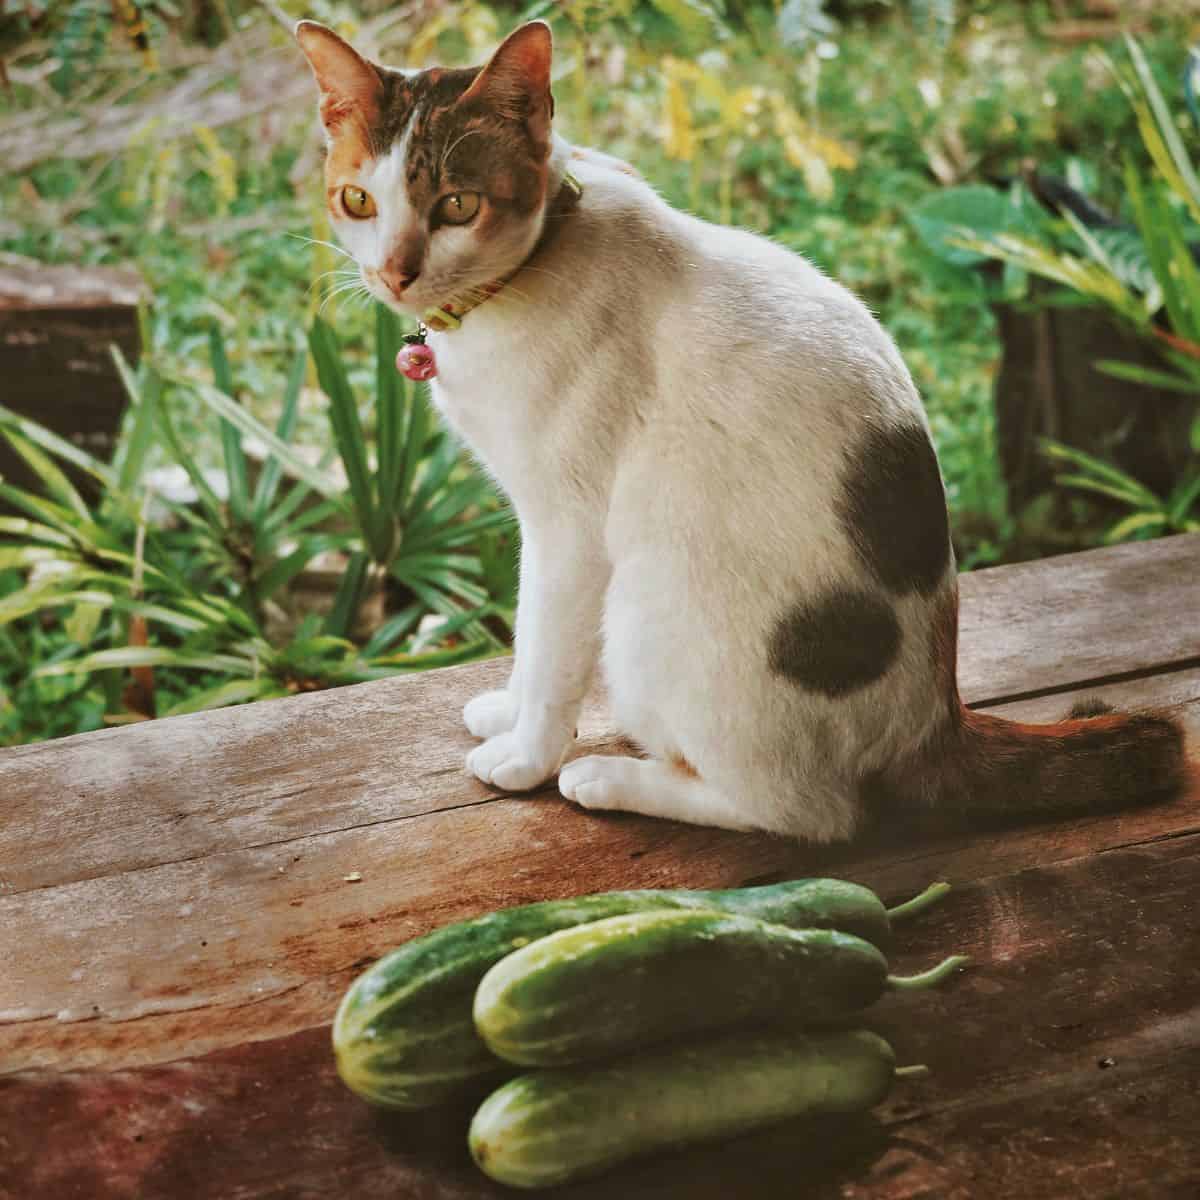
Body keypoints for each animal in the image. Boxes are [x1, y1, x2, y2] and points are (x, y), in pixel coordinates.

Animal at [295, 21, 1185, 844]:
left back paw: (610, 778)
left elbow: (546, 646)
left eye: (457, 205)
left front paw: (525, 756)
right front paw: (506, 710)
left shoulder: (566, 527)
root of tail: (939, 720)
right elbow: (526, 634)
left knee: (804, 814)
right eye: (358, 201)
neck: (533, 257)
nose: (394, 273)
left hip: (647, 606)